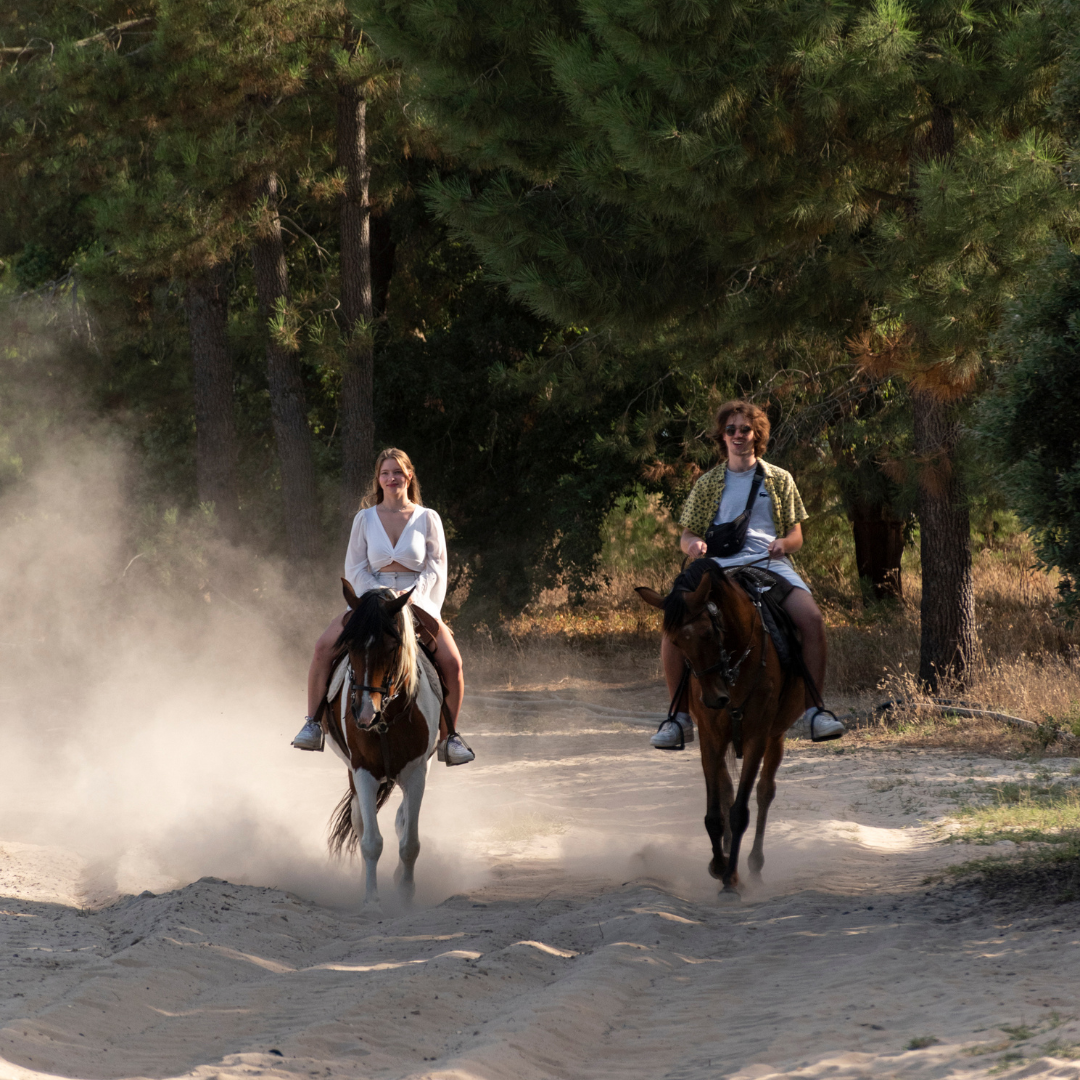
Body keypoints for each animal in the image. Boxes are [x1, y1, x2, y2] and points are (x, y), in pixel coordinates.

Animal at [321, 583, 440, 902]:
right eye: (349, 646)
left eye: (391, 647)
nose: (364, 713)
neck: (386, 718)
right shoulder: (363, 770)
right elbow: (371, 841)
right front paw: (372, 901)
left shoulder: (416, 772)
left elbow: (410, 843)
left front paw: (405, 895)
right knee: (362, 824)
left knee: (402, 820)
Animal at [635, 557, 807, 894]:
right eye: (675, 642)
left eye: (707, 633)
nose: (714, 698)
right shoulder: (710, 736)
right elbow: (715, 812)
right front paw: (718, 865)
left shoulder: (757, 737)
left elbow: (741, 811)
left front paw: (731, 880)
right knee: (728, 786)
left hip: (776, 736)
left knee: (764, 791)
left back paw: (753, 865)